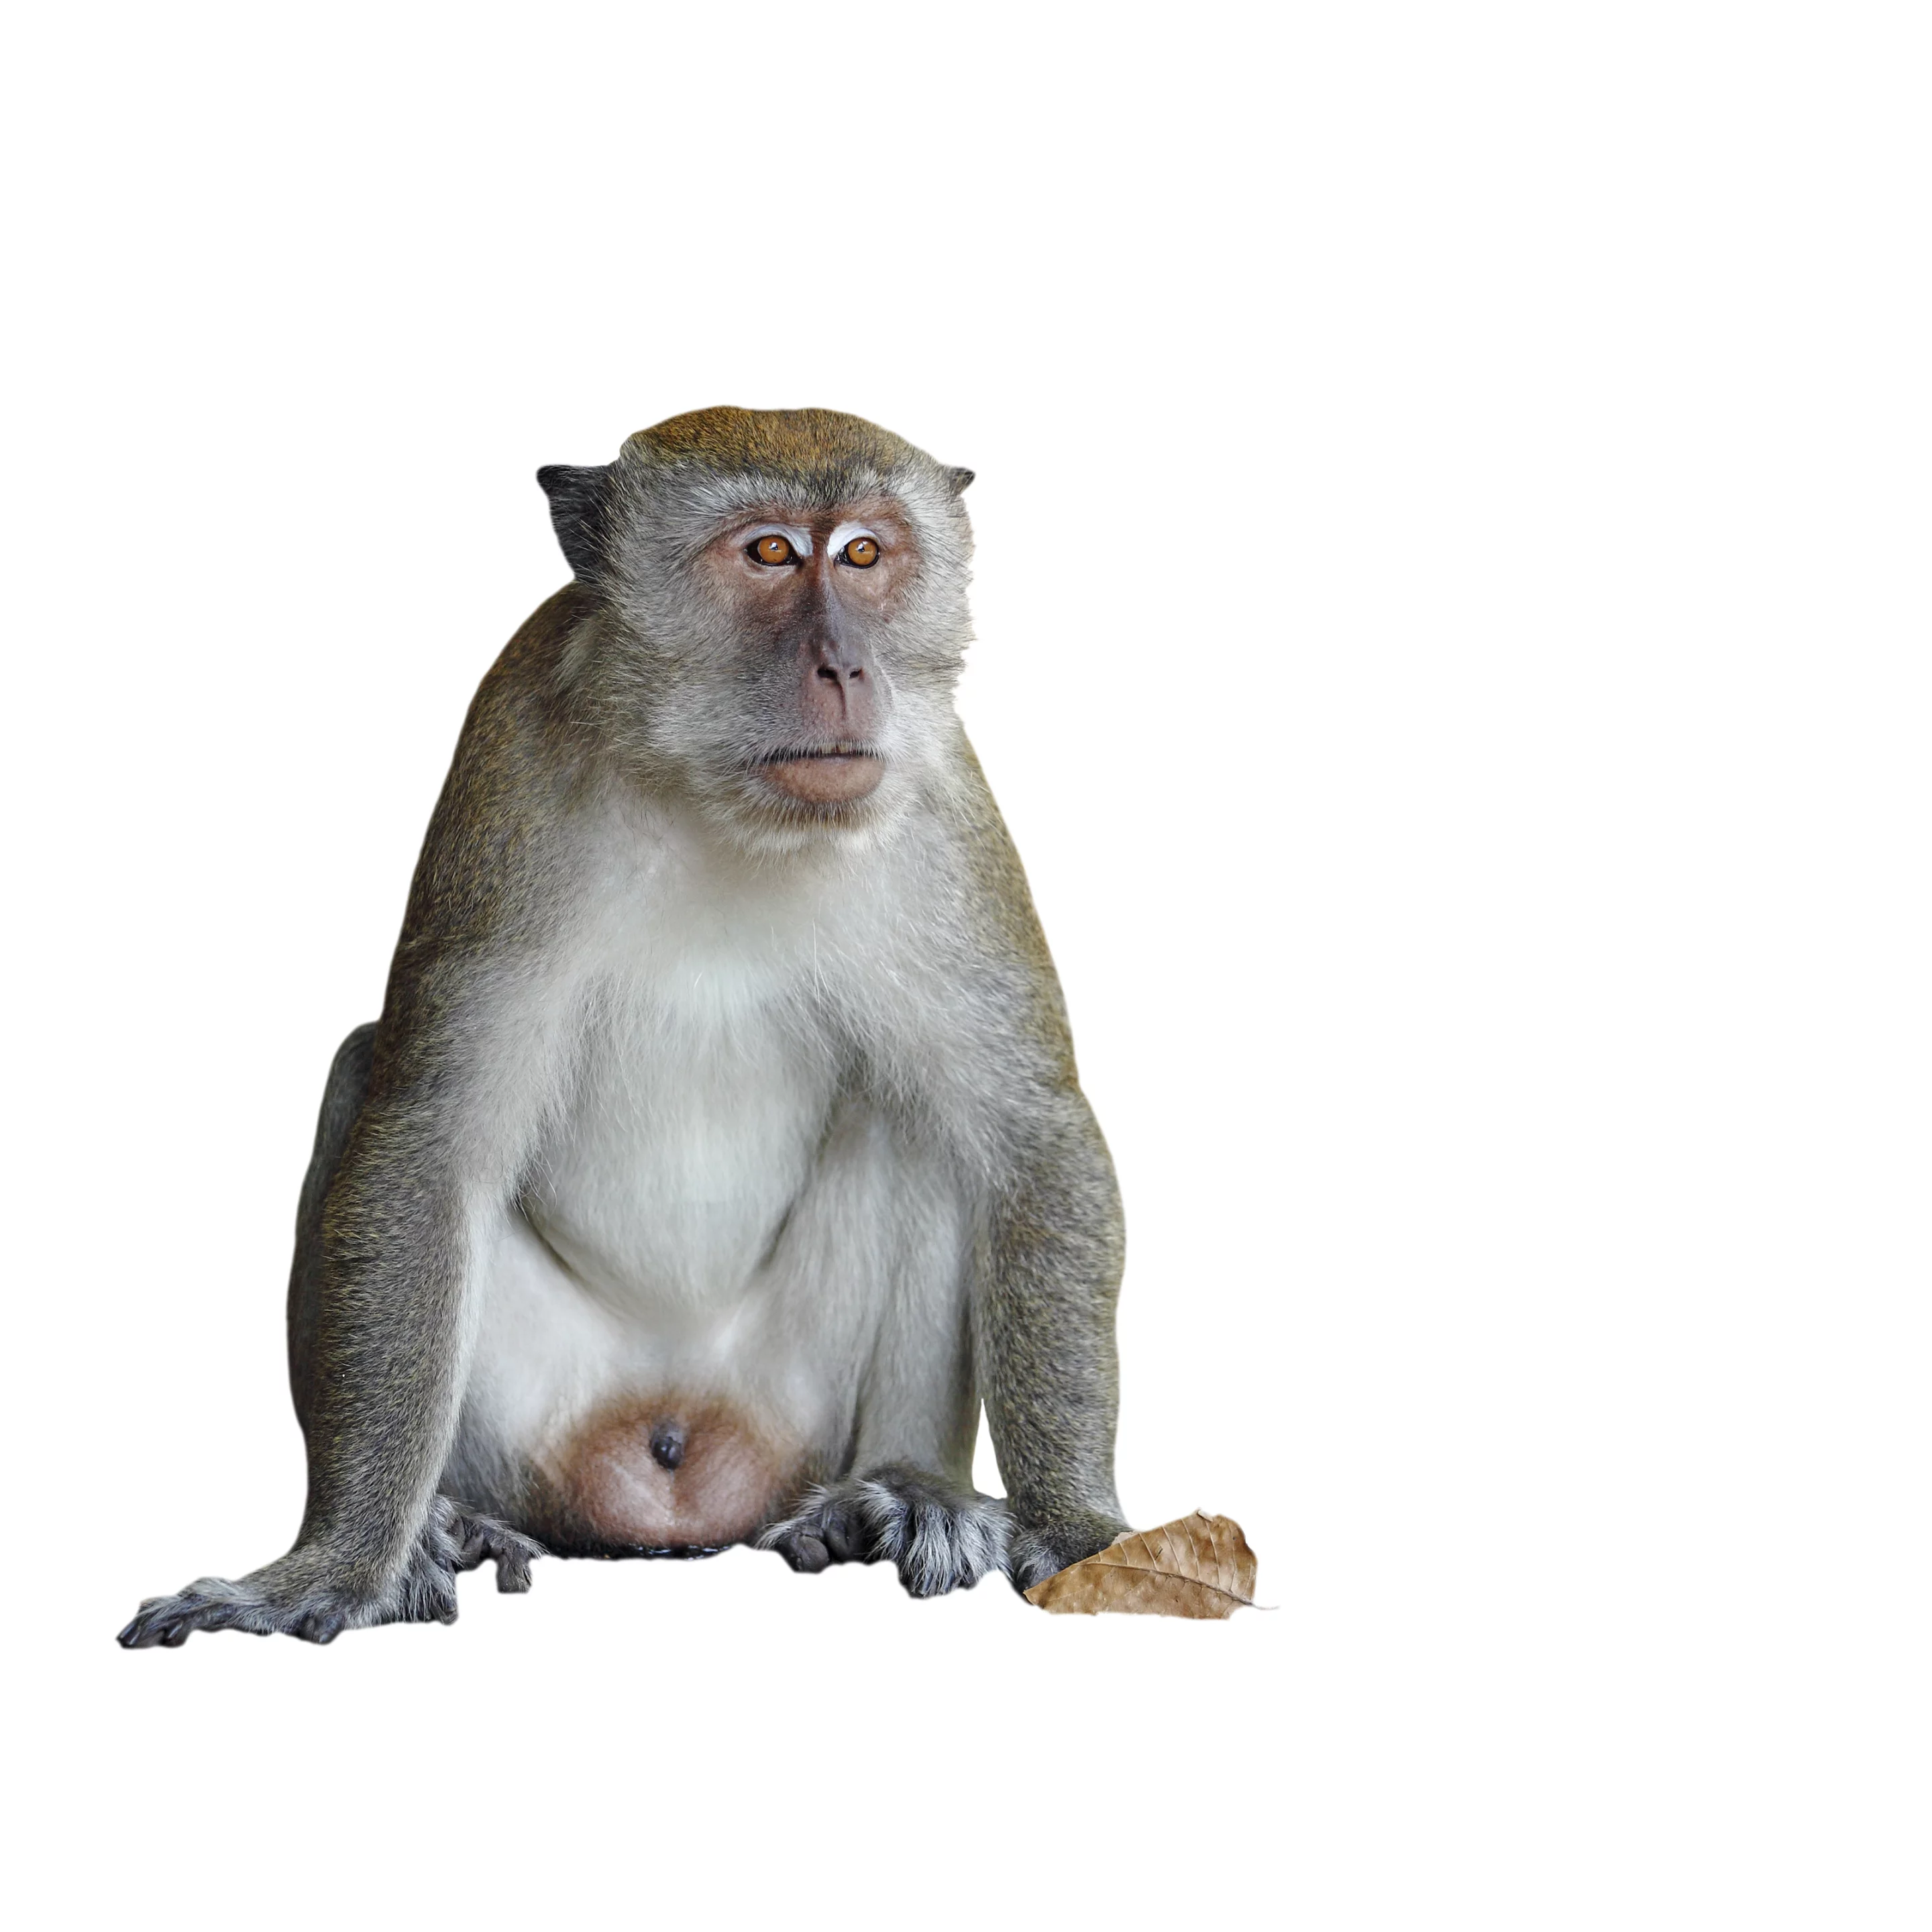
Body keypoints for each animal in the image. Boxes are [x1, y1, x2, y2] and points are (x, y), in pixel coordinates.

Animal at [119, 406, 1129, 1646]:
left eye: (864, 554)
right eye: (769, 554)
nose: (848, 666)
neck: (723, 802)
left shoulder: (943, 808)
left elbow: (1028, 1133)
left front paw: (1078, 1529)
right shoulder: (510, 781)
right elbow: (427, 1147)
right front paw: (336, 1567)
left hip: (791, 1416)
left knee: (923, 1122)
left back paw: (903, 1493)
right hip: (546, 1428)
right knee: (365, 1072)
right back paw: (443, 1525)